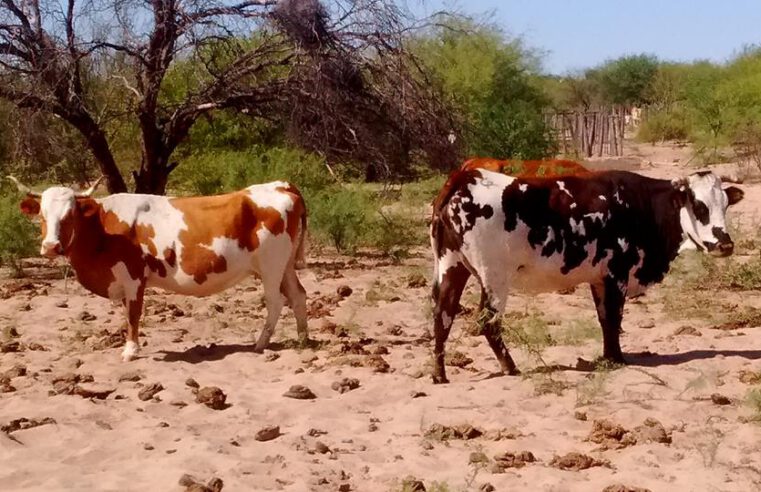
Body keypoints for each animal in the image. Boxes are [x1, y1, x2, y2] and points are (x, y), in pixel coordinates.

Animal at [13, 177, 308, 362]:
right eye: (42, 216)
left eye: (69, 215)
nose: (51, 246)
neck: (103, 227)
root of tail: (282, 185)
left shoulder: (133, 277)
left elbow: (133, 314)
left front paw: (131, 350)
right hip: (285, 266)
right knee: (298, 296)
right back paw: (303, 338)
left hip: (271, 266)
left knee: (276, 301)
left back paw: (260, 344)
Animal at [430, 169, 744, 384]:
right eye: (700, 206)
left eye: (726, 205)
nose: (725, 244)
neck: (640, 204)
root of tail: (465, 177)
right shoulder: (617, 273)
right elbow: (614, 318)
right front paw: (616, 358)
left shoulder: (599, 278)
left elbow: (605, 319)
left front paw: (608, 356)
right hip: (494, 278)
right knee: (488, 322)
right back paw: (510, 367)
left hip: (451, 267)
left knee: (442, 314)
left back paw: (439, 374)